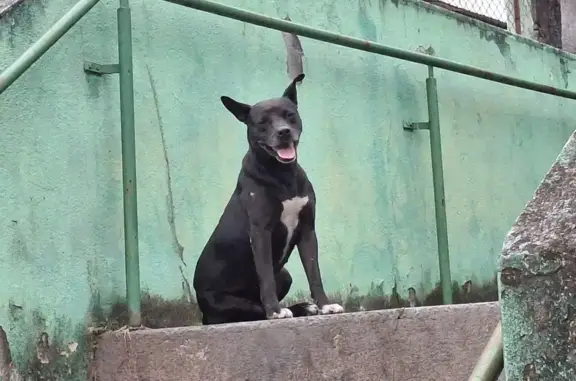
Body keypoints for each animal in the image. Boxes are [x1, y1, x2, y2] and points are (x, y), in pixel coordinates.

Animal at [196, 73, 344, 324]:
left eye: (289, 115)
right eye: (262, 122)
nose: (283, 132)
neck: (282, 175)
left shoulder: (307, 230)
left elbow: (314, 273)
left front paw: (325, 305)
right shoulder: (260, 232)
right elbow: (265, 276)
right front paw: (275, 310)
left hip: (284, 275)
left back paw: (304, 307)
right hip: (224, 303)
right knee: (251, 310)